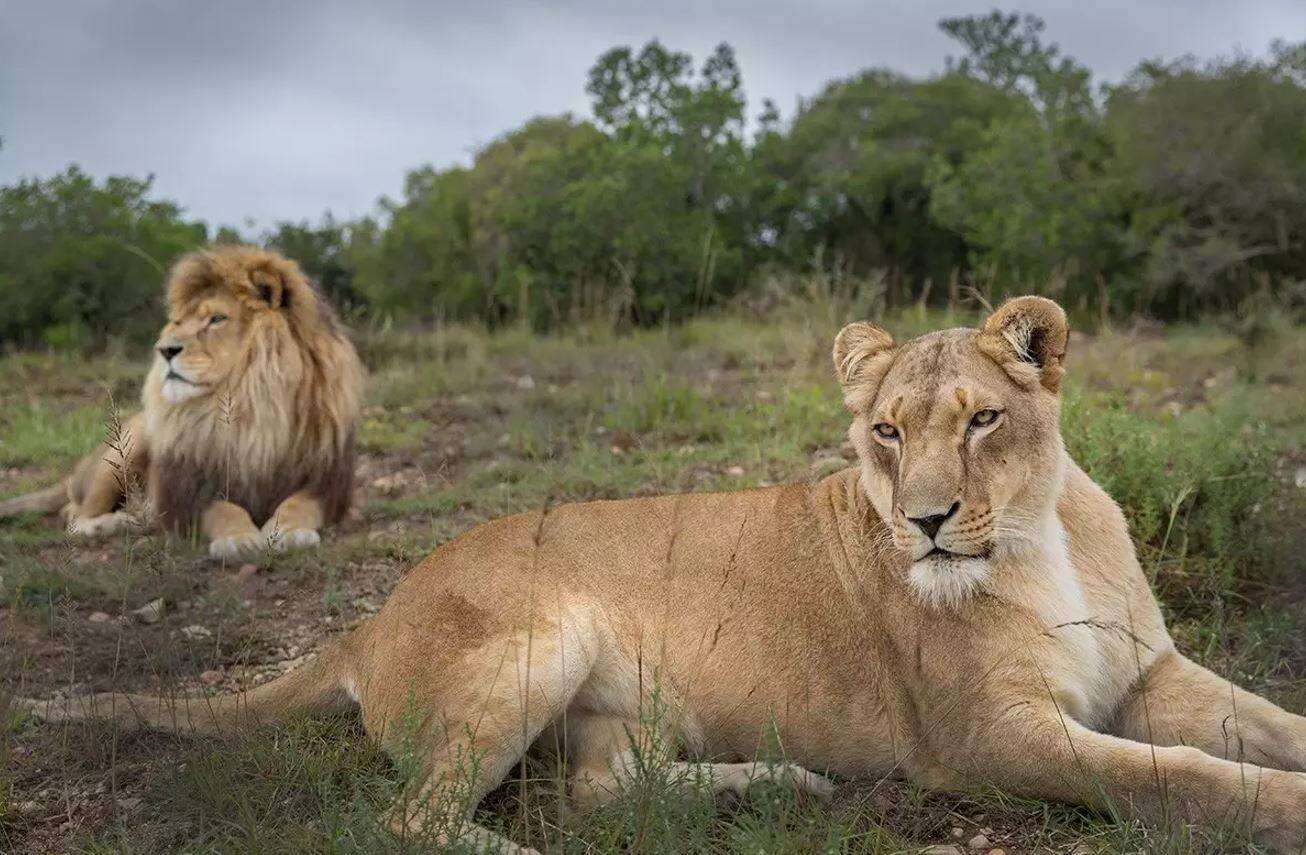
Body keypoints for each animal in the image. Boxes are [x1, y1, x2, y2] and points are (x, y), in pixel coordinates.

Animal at [0, 244, 363, 558]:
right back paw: (108, 525)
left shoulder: (327, 484)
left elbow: (298, 505)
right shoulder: (188, 492)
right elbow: (222, 510)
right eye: (177, 322)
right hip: (124, 450)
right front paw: (239, 539)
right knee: (72, 513)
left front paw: (288, 531)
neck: (251, 403)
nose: (165, 350)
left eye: (217, 319)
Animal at [17, 297, 1306, 851]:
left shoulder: (1148, 675)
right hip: (538, 638)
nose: (929, 524)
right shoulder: (985, 740)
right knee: (413, 820)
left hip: (623, 706)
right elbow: (1176, 777)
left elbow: (1263, 722)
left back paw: (779, 784)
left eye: (982, 419)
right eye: (885, 434)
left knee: (601, 789)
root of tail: (368, 619)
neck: (1038, 538)